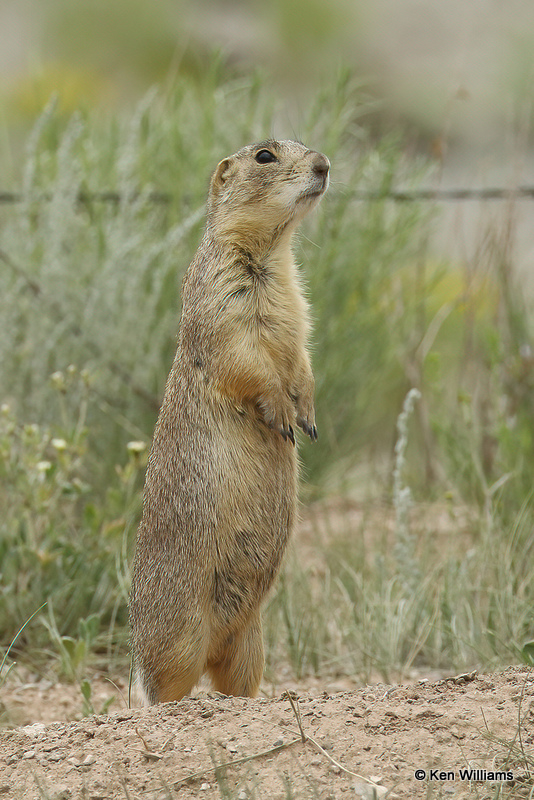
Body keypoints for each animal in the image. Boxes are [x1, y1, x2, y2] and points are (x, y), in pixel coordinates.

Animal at [130, 141, 330, 704]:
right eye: (264, 156)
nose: (325, 165)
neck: (272, 252)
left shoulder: (299, 306)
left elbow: (301, 357)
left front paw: (307, 416)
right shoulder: (222, 299)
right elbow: (247, 359)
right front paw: (283, 415)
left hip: (250, 641)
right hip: (176, 633)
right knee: (162, 690)